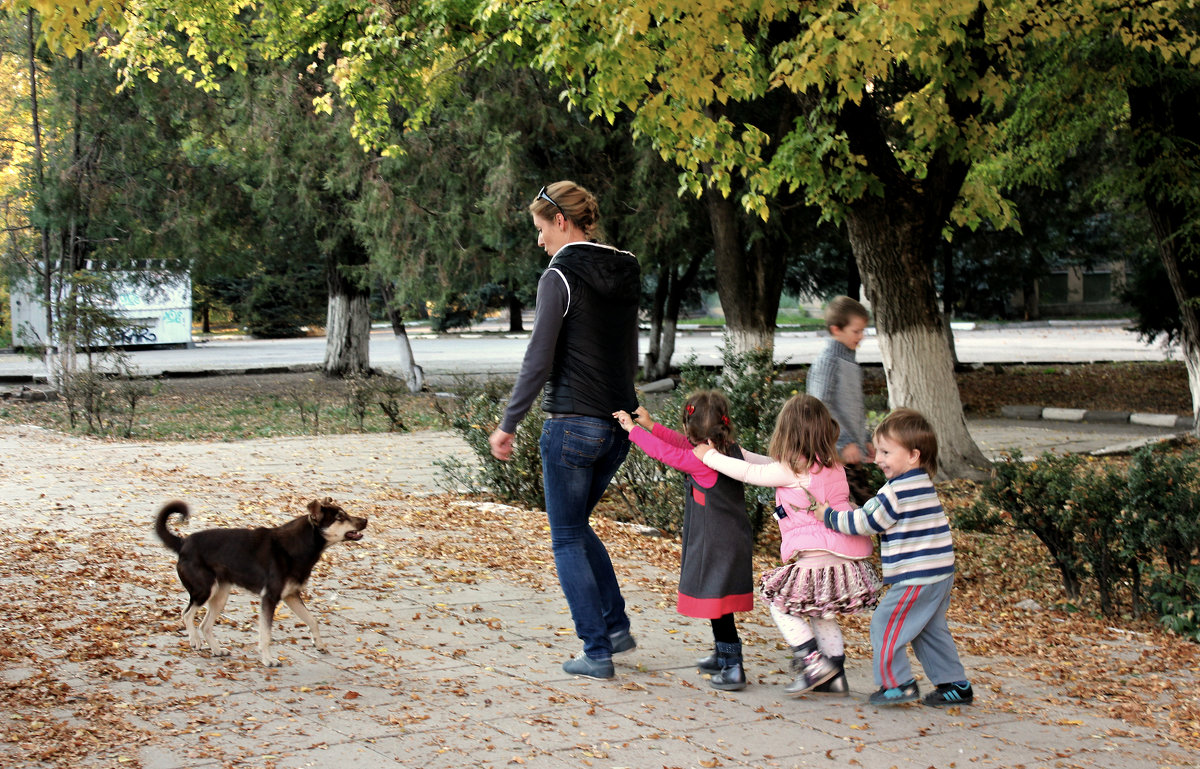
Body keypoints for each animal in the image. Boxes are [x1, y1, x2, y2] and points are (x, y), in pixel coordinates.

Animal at [157, 499, 367, 667]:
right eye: (340, 516)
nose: (365, 520)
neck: (299, 544)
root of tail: (183, 543)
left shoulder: (291, 596)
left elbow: (312, 620)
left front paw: (319, 644)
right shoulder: (270, 598)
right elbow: (266, 635)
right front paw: (268, 659)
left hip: (220, 596)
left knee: (205, 625)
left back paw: (217, 649)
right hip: (204, 591)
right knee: (186, 614)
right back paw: (195, 640)